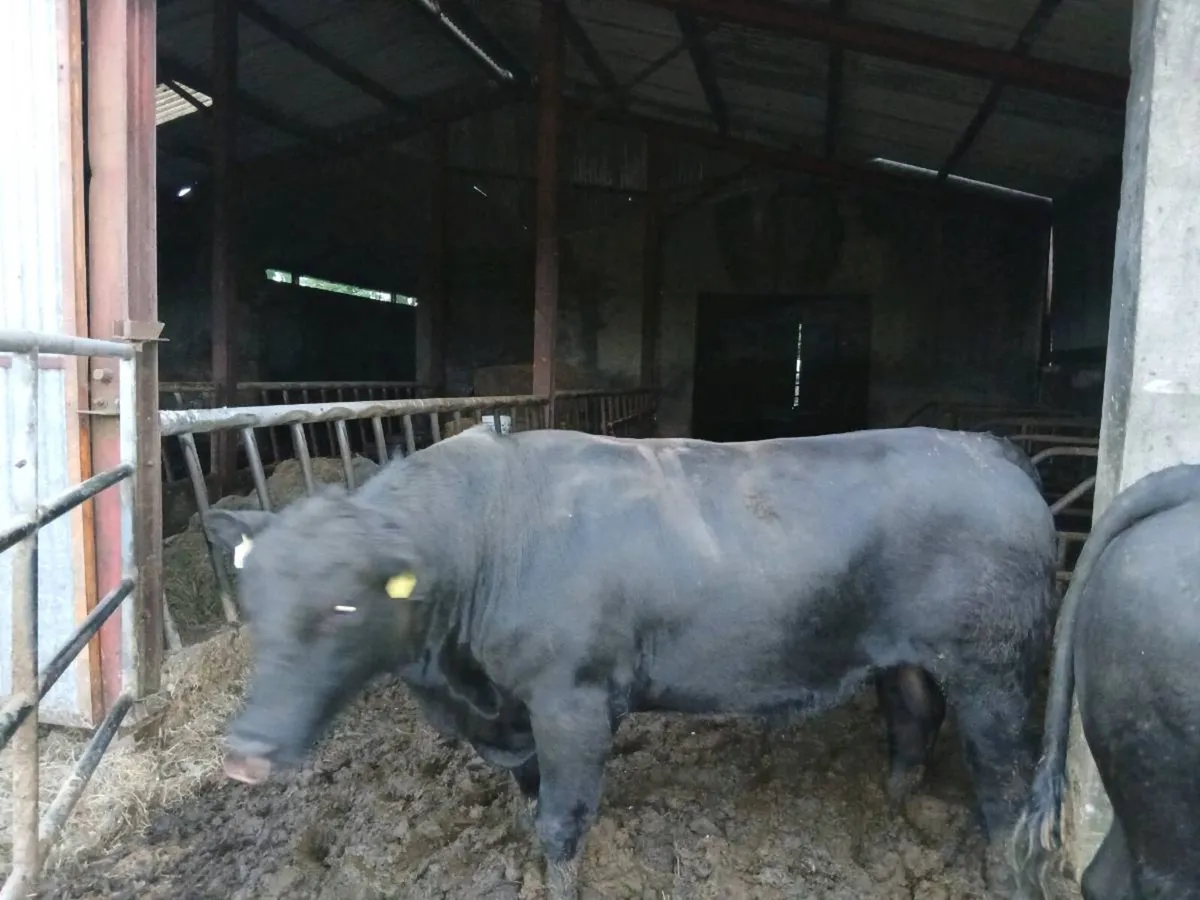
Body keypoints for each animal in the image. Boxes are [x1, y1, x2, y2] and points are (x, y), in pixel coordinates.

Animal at [202, 424, 1057, 899]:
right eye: (253, 599)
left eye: (344, 608)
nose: (243, 754)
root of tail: (986, 447)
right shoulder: (518, 713)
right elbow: (531, 799)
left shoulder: (572, 700)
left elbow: (561, 822)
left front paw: (559, 884)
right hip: (908, 659)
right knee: (912, 722)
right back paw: (892, 813)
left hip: (995, 671)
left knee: (1005, 783)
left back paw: (1001, 875)